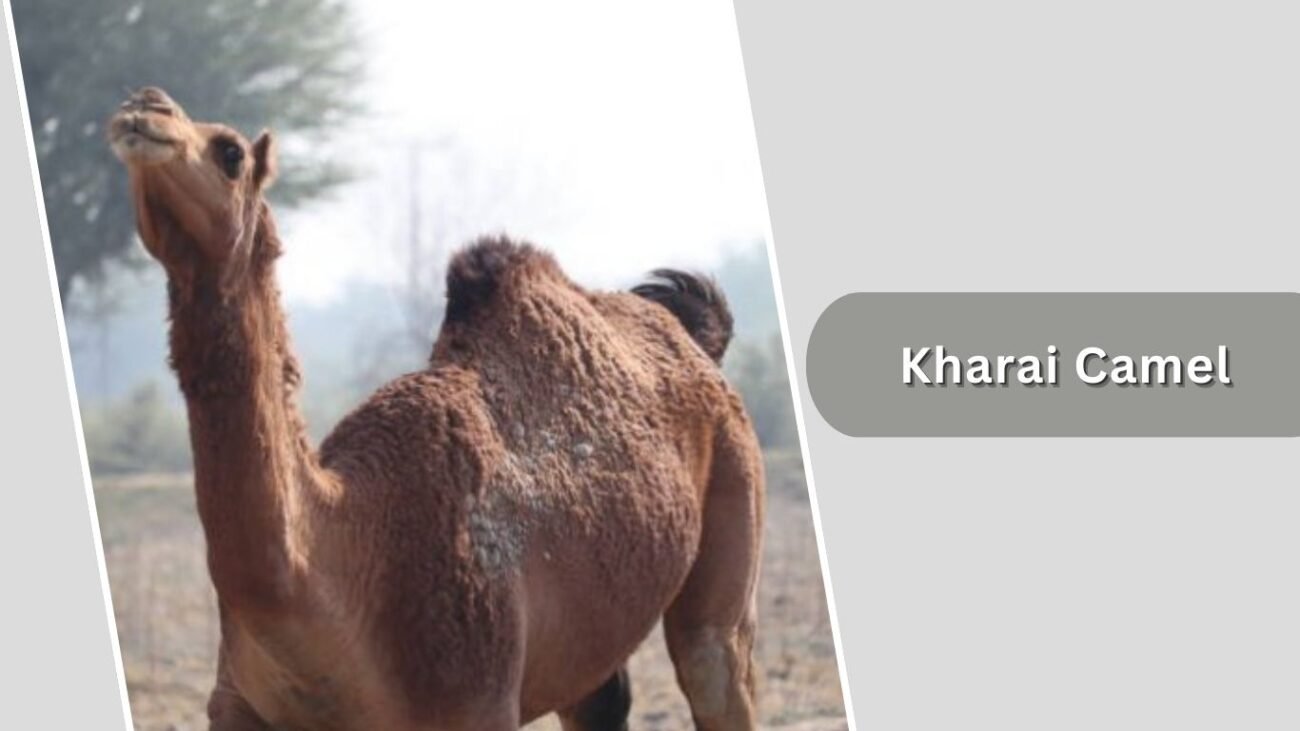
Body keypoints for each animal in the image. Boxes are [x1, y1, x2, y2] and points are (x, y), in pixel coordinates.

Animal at [107, 87, 765, 731]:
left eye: (231, 152)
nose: (145, 106)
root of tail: (694, 339)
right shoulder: (238, 705)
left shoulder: (476, 698)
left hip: (733, 497)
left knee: (713, 663)